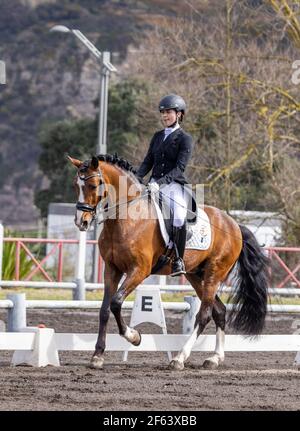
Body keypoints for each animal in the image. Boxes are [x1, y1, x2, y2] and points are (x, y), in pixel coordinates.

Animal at [68, 154, 270, 372]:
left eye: (93, 185)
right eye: (76, 185)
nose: (81, 222)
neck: (128, 216)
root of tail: (234, 225)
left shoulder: (139, 270)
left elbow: (116, 302)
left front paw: (135, 337)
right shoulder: (111, 269)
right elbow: (105, 310)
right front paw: (97, 355)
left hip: (214, 274)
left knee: (204, 314)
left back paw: (180, 358)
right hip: (196, 275)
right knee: (219, 311)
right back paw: (215, 358)